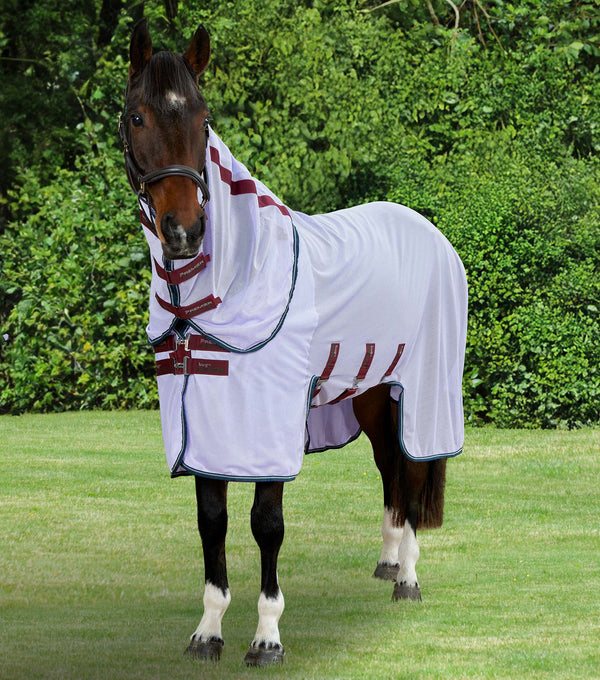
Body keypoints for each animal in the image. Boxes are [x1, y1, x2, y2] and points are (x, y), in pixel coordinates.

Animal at [119, 18, 468, 668]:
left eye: (203, 118)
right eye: (138, 116)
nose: (185, 232)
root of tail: (429, 230)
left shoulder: (267, 422)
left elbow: (266, 524)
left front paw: (267, 638)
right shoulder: (206, 419)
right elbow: (211, 520)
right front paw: (207, 632)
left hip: (421, 390)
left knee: (411, 472)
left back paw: (408, 579)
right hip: (372, 393)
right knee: (389, 467)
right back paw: (387, 564)